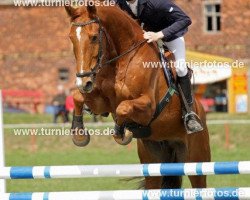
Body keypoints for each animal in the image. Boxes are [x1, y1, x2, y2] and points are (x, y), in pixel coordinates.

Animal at [65, 2, 211, 188]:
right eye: (71, 38)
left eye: (94, 37)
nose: (84, 82)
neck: (122, 59)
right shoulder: (101, 103)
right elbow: (78, 97)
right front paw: (79, 135)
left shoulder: (149, 107)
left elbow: (123, 107)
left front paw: (122, 133)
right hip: (153, 160)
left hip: (196, 159)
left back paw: (192, 121)